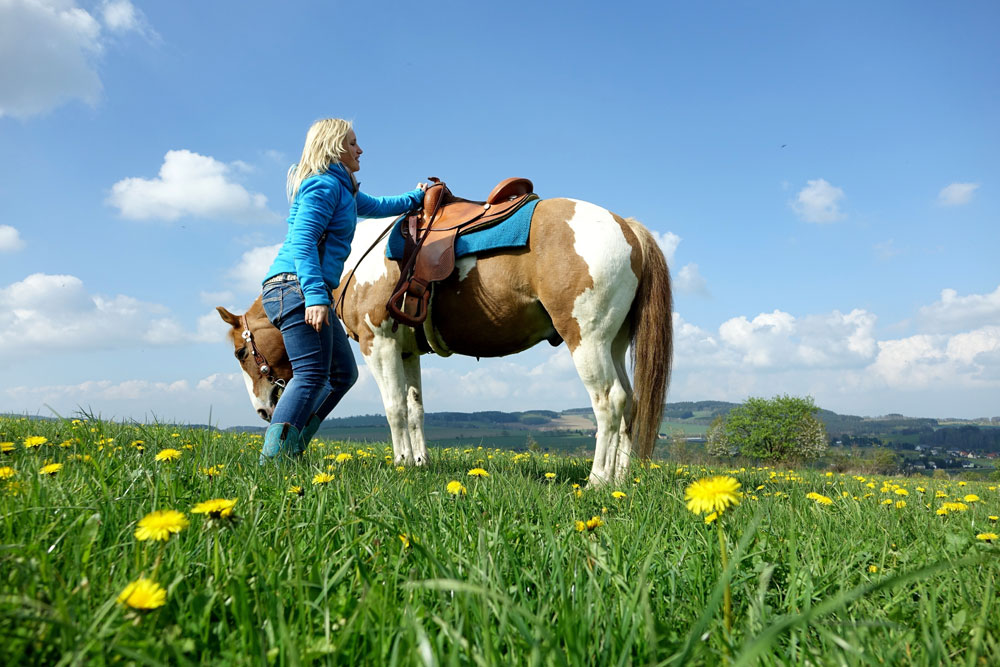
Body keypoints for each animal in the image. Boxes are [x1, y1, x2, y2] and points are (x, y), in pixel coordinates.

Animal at [219, 198, 672, 486]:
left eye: (241, 352)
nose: (262, 410)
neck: (354, 259)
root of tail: (625, 226)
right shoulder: (406, 351)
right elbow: (415, 409)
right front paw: (420, 462)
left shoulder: (378, 343)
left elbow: (393, 408)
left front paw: (401, 463)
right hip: (614, 343)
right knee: (630, 403)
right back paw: (621, 479)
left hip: (587, 339)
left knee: (609, 402)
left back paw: (597, 480)